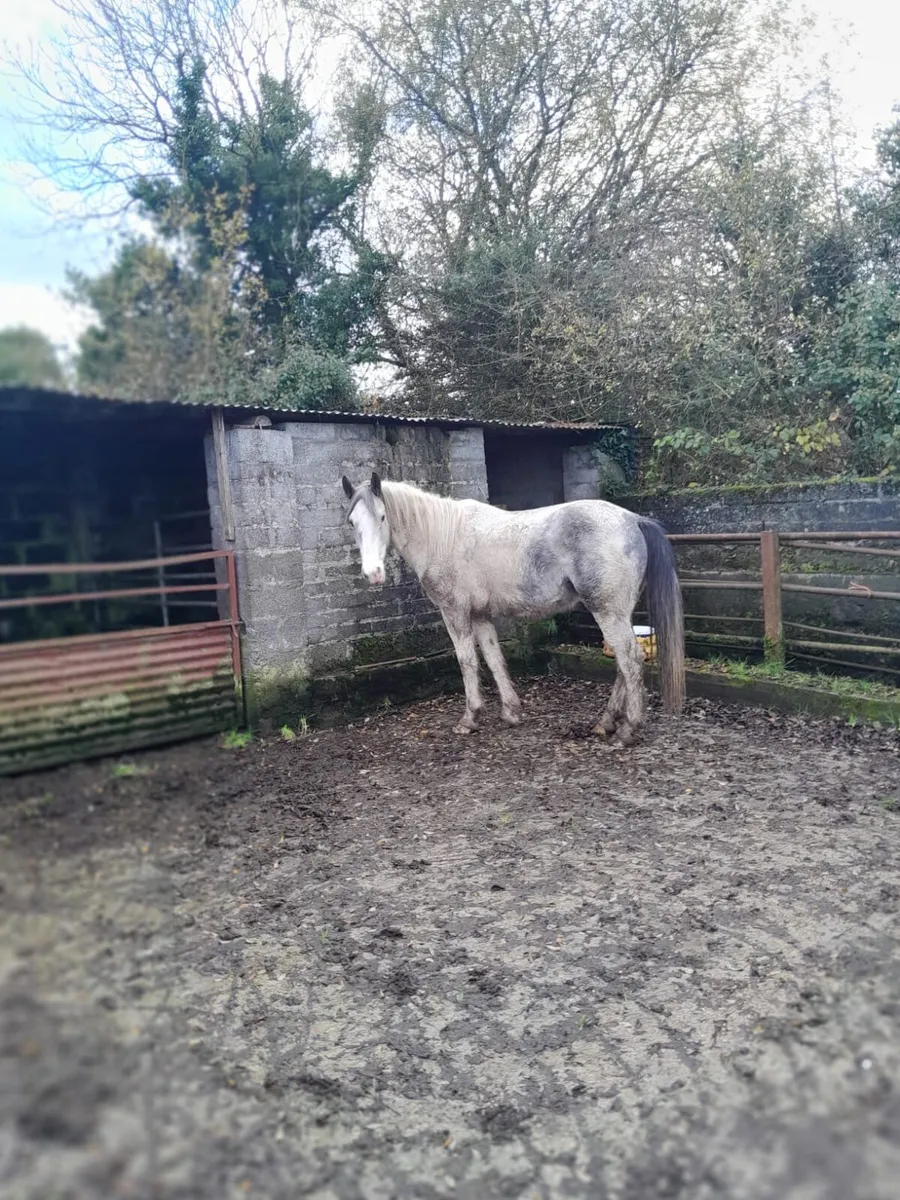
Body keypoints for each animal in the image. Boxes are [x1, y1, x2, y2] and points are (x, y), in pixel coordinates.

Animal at [341, 472, 685, 744]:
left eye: (382, 517)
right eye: (352, 522)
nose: (373, 573)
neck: (442, 536)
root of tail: (633, 520)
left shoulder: (455, 613)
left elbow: (467, 662)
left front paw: (470, 719)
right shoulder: (480, 616)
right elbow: (494, 659)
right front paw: (510, 712)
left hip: (608, 611)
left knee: (630, 660)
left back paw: (628, 731)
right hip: (617, 613)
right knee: (624, 665)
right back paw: (606, 723)